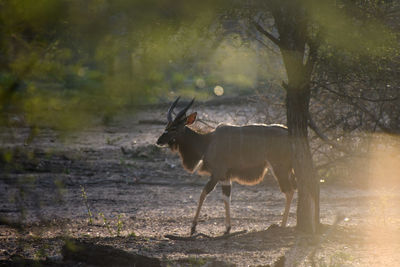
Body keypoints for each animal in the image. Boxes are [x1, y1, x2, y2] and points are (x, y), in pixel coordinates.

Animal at [156, 97, 296, 236]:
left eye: (174, 127)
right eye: (167, 126)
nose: (158, 141)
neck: (207, 142)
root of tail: (290, 134)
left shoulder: (217, 173)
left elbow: (203, 193)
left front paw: (193, 227)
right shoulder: (225, 177)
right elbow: (226, 197)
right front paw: (228, 228)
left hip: (279, 168)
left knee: (289, 191)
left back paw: (283, 224)